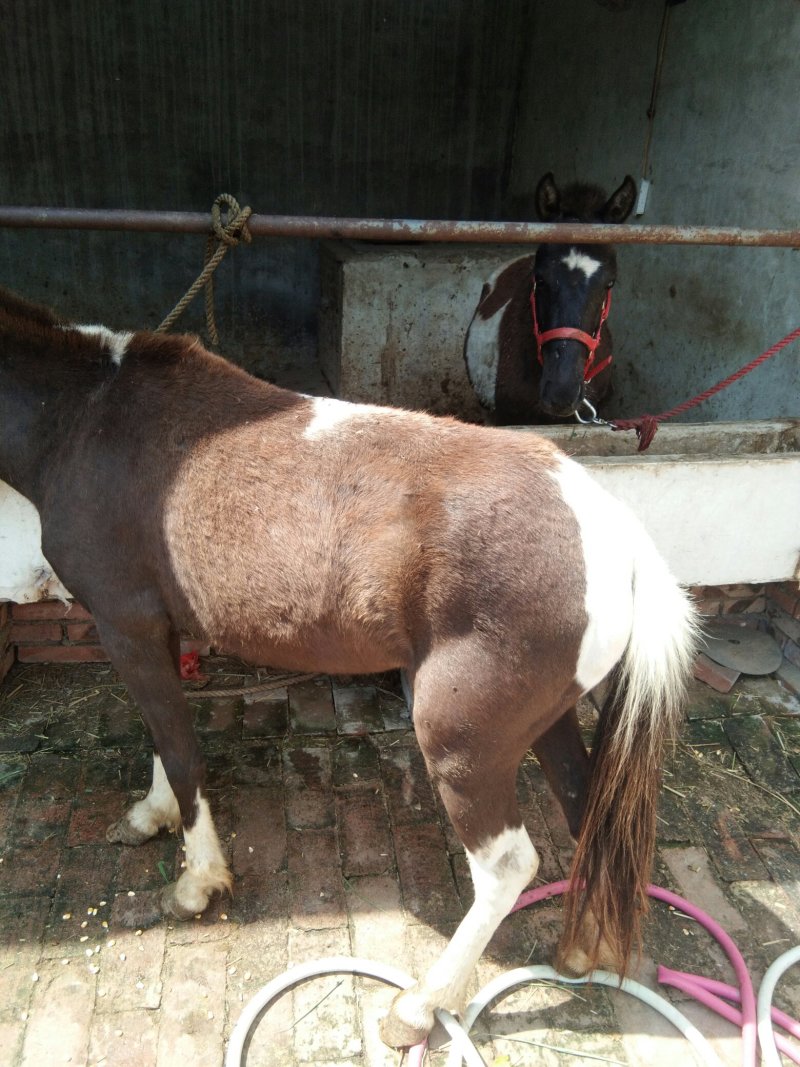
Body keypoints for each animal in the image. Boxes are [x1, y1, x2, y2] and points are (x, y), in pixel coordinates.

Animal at [0, 286, 695, 1048]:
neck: (88, 415)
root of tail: (616, 535)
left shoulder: (125, 626)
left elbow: (180, 752)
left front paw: (198, 881)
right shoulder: (160, 632)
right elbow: (164, 735)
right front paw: (153, 813)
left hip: (463, 743)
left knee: (507, 866)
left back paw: (419, 1005)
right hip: (549, 720)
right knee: (588, 811)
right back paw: (580, 950)